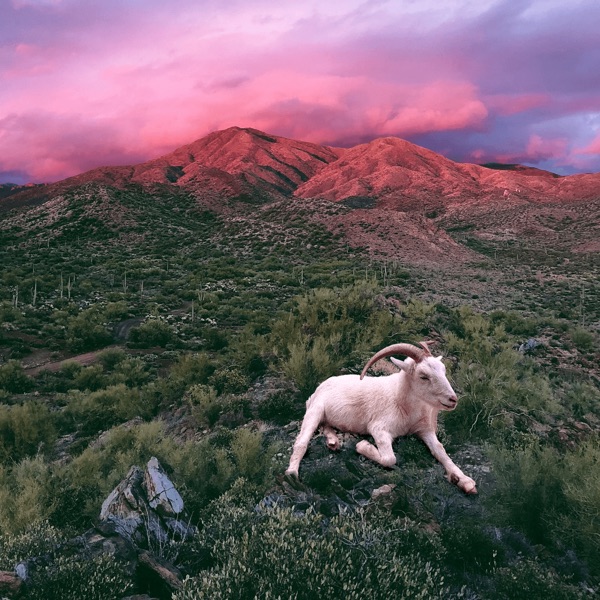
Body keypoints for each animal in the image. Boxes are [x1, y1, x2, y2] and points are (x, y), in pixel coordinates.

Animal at [286, 340, 478, 494]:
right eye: (423, 376)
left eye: (443, 370)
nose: (452, 399)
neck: (402, 403)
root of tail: (320, 386)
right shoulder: (379, 428)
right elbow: (389, 458)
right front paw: (363, 446)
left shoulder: (424, 430)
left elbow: (440, 451)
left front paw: (464, 481)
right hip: (315, 410)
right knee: (302, 441)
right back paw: (292, 474)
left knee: (326, 425)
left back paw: (333, 442)